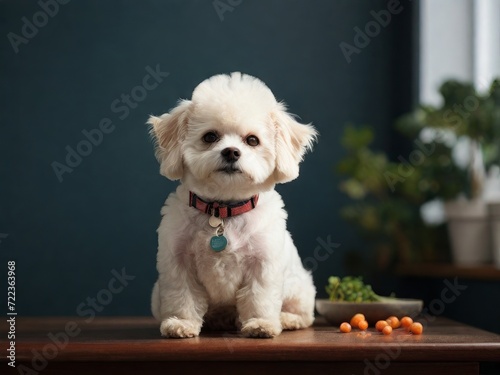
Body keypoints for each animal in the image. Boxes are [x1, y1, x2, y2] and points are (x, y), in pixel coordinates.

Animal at [147, 72, 316, 340]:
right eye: (210, 137)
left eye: (252, 140)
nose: (231, 152)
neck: (223, 210)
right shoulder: (178, 263)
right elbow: (183, 297)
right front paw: (181, 323)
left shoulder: (263, 264)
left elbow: (259, 297)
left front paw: (261, 324)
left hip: (299, 288)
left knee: (304, 315)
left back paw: (287, 319)